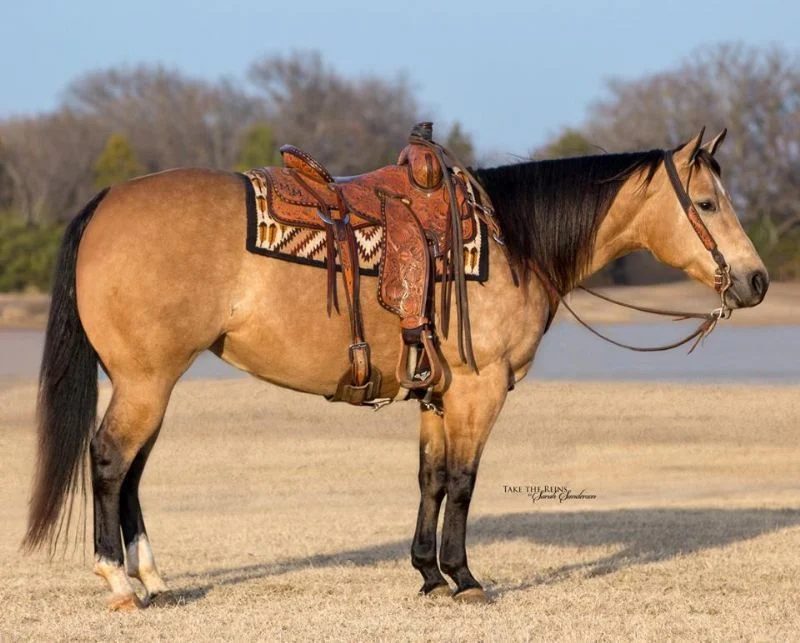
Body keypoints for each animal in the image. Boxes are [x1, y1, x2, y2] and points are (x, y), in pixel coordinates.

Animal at [23, 128, 768, 609]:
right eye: (707, 203)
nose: (757, 281)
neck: (510, 243)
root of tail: (108, 199)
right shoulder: (479, 390)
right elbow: (463, 482)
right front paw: (465, 579)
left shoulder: (439, 394)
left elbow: (431, 479)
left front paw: (428, 575)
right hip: (146, 382)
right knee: (111, 461)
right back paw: (120, 583)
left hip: (149, 382)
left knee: (131, 471)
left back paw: (153, 578)